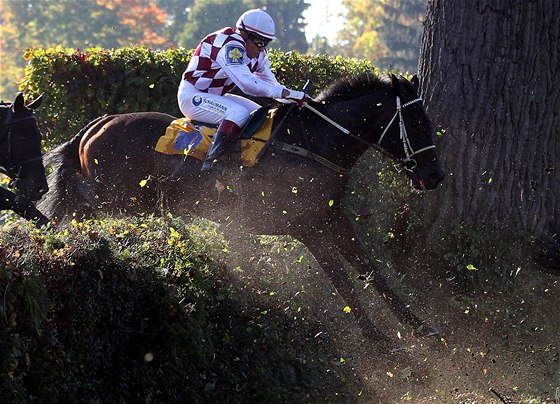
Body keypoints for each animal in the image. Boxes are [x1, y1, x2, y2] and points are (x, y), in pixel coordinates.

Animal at [39, 73, 444, 344]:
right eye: (416, 122)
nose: (435, 176)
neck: (313, 144)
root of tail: (98, 123)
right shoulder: (307, 226)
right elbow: (343, 283)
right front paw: (383, 346)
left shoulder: (332, 217)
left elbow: (372, 272)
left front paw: (424, 332)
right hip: (114, 200)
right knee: (79, 219)